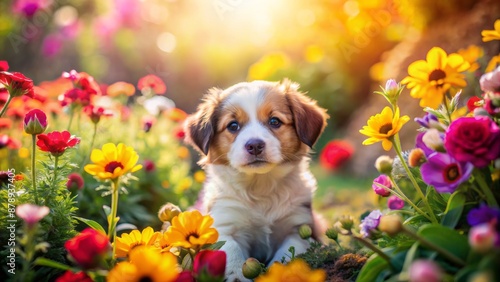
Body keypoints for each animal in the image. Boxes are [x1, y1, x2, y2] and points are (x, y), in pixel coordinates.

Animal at [184, 79, 328, 280]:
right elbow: (232, 254)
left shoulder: (299, 227)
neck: (261, 185)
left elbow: (287, 255)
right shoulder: (225, 225)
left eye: (275, 121)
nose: (254, 145)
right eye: (233, 126)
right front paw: (238, 277)